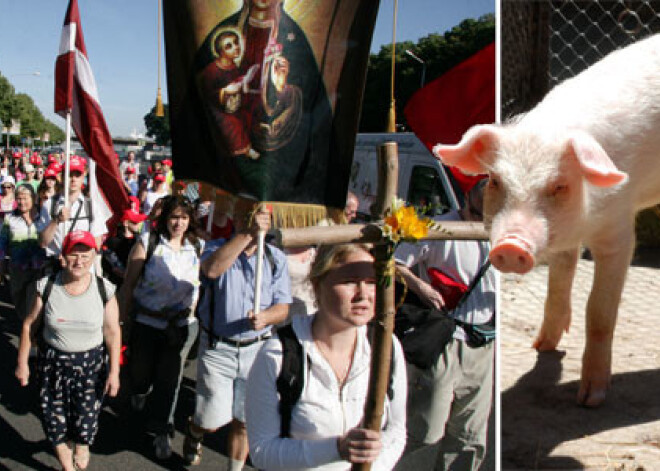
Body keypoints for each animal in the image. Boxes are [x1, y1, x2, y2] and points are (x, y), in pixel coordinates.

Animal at [434, 35, 660, 408]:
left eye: (559, 186)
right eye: (495, 181)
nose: (511, 246)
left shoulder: (618, 230)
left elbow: (599, 312)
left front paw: (591, 399)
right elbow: (557, 283)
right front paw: (541, 346)